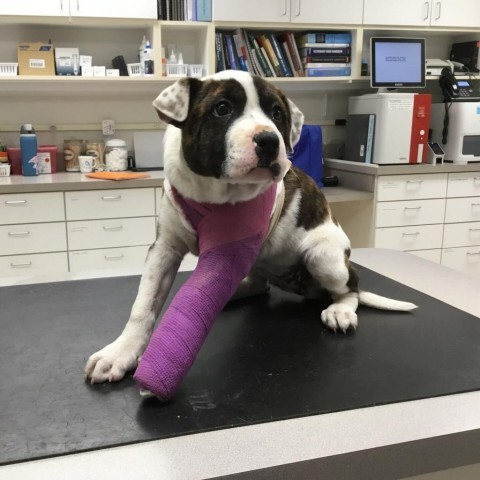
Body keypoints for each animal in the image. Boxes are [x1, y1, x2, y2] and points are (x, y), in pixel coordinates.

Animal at [85, 70, 416, 386]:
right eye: (222, 109)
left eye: (277, 114)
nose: (269, 140)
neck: (212, 190)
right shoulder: (164, 248)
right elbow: (143, 305)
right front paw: (120, 353)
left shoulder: (230, 248)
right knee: (259, 284)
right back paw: (235, 293)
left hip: (323, 257)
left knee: (351, 288)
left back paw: (340, 310)